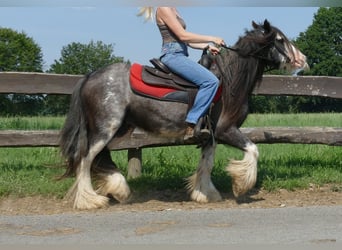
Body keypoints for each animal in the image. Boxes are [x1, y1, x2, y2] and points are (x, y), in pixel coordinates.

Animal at [60, 20, 308, 209]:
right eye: (280, 40)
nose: (302, 59)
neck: (228, 81)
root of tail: (90, 76)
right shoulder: (226, 130)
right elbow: (253, 150)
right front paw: (241, 186)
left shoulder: (210, 136)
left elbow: (206, 164)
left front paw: (205, 194)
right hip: (105, 128)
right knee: (85, 159)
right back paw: (89, 200)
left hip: (117, 128)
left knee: (99, 157)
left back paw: (119, 190)